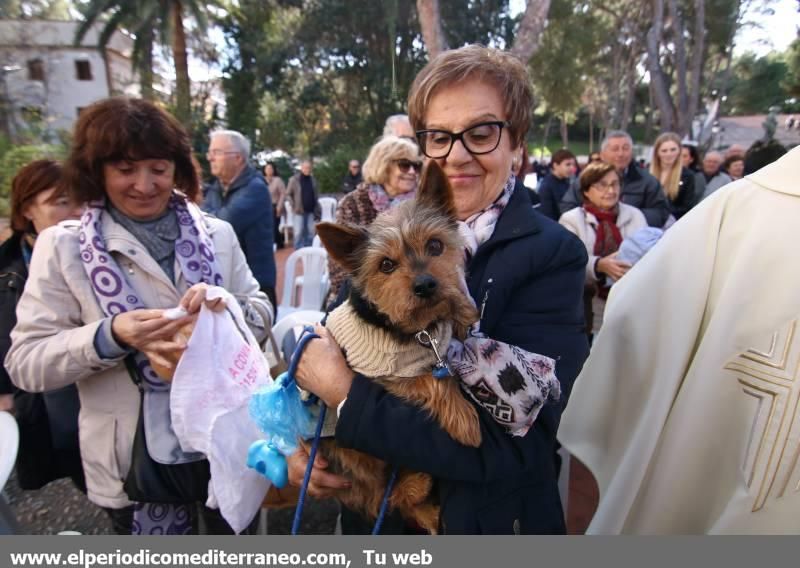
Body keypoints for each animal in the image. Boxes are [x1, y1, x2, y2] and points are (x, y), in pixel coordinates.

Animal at [312, 159, 482, 532]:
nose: (425, 285)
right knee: (381, 497)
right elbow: (434, 381)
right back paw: (416, 484)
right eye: (386, 265)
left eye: (435, 246)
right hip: (353, 454)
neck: (416, 330)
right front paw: (465, 420)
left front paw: (462, 311)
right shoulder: (381, 376)